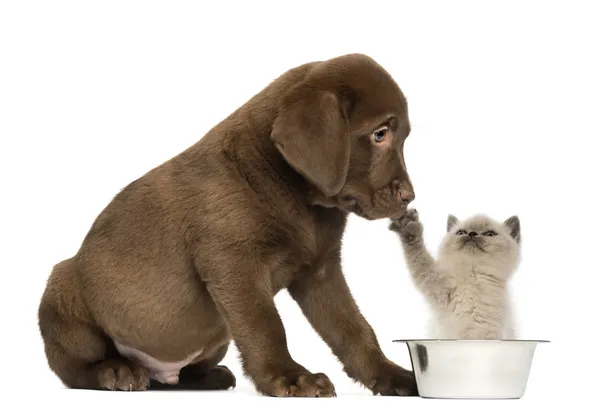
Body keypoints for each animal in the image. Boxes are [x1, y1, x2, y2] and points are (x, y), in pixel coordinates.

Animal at [37, 53, 418, 398]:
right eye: (379, 134)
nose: (410, 197)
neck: (300, 198)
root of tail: (160, 372)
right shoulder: (234, 265)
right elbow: (266, 325)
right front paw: (290, 377)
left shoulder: (320, 271)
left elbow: (353, 329)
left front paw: (391, 375)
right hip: (62, 286)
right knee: (72, 368)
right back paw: (115, 371)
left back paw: (209, 376)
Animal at [390, 211, 520, 340]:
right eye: (461, 232)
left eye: (490, 234)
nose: (472, 233)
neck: (472, 273)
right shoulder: (435, 282)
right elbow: (418, 255)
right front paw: (408, 228)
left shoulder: (483, 331)